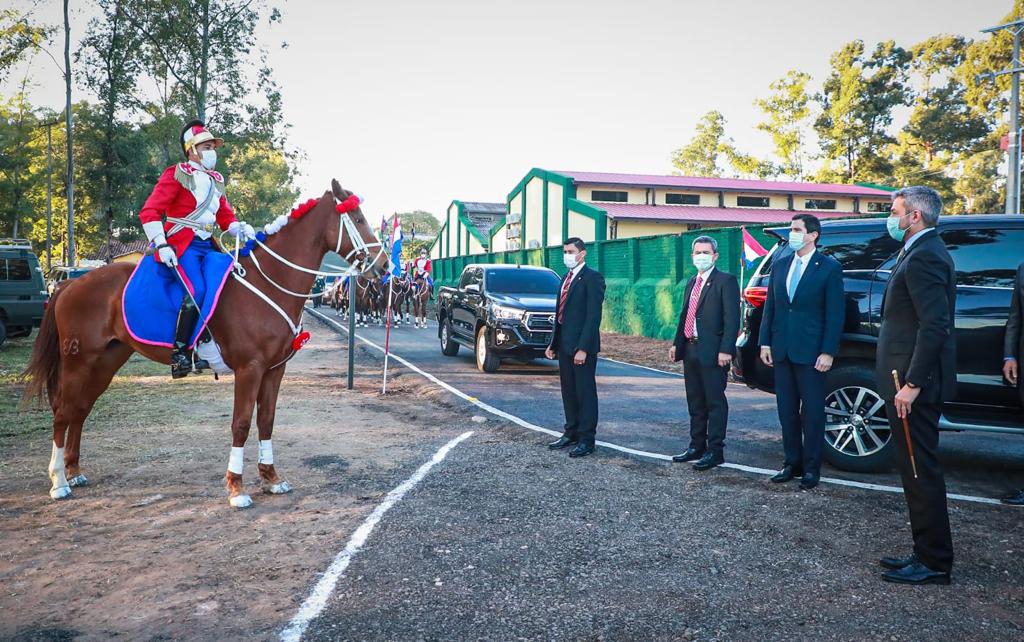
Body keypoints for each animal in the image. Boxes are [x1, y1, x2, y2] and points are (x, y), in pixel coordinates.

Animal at [23, 179, 387, 507]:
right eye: (357, 219)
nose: (383, 266)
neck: (268, 282)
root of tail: (69, 284)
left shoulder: (274, 370)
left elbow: (266, 421)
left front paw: (270, 478)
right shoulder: (250, 369)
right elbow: (241, 424)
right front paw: (236, 487)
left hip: (106, 361)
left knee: (80, 410)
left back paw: (73, 471)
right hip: (79, 361)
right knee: (63, 412)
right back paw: (59, 481)